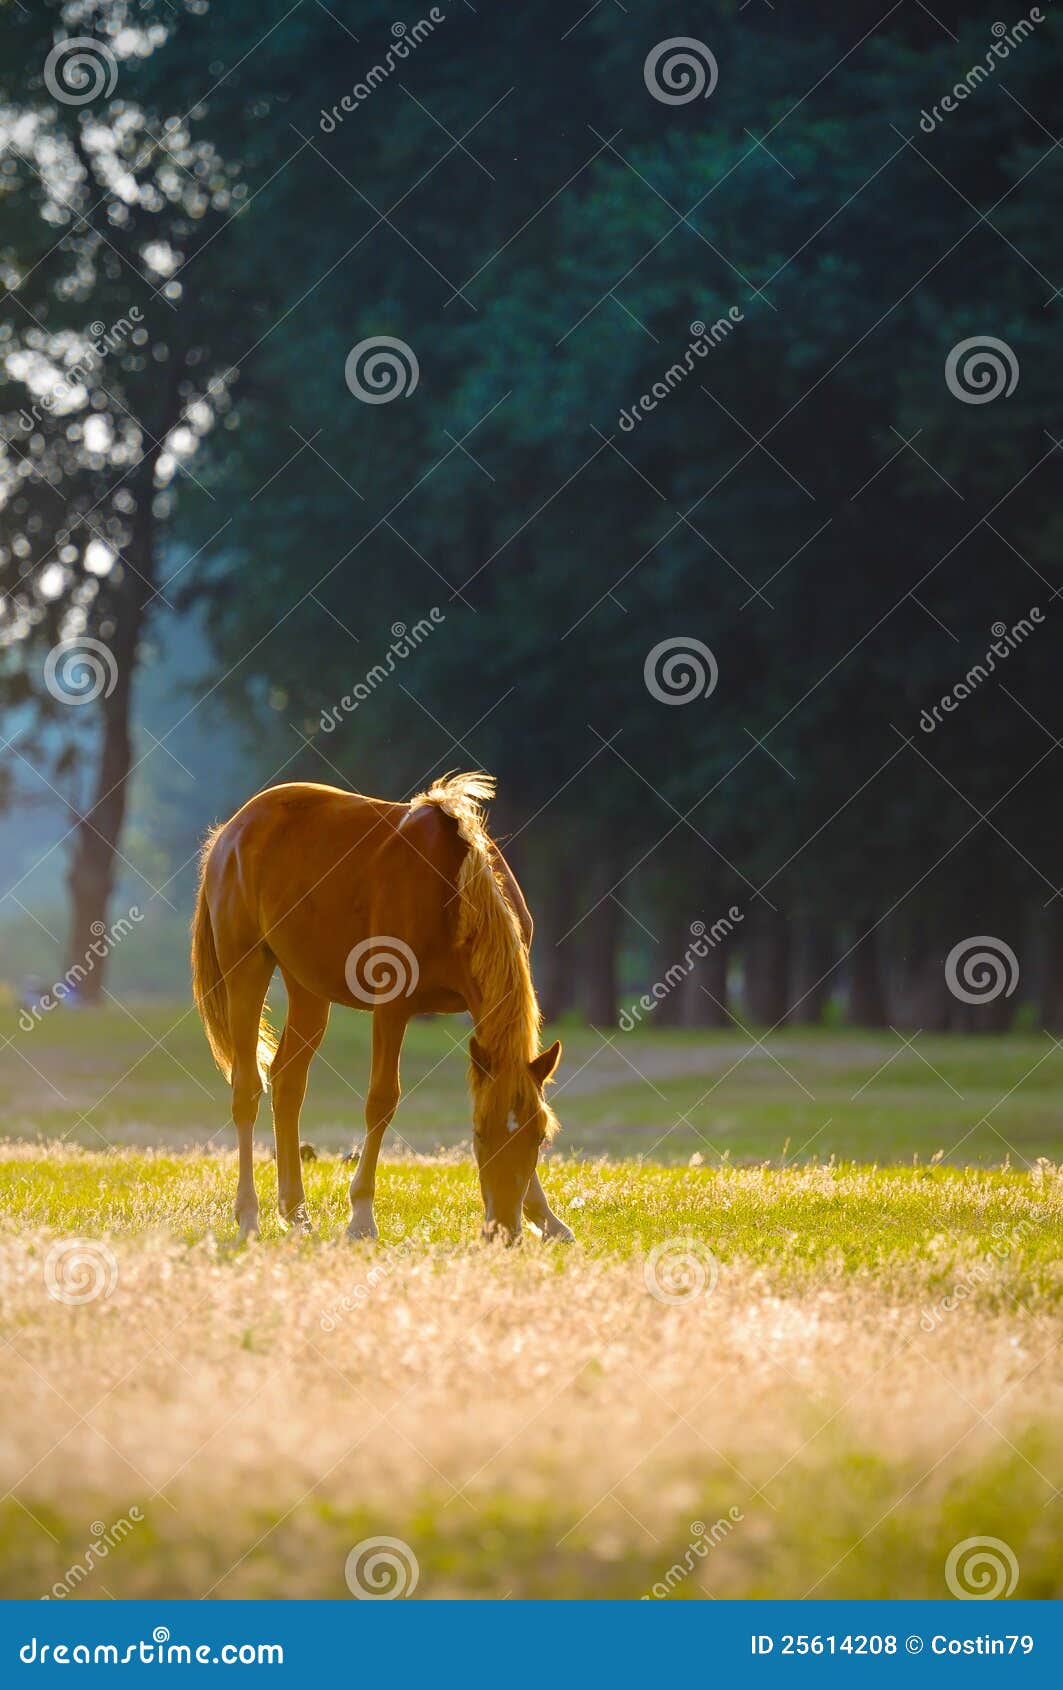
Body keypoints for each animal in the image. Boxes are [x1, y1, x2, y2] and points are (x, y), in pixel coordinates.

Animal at [190, 770, 573, 1245]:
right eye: (478, 1134)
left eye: (540, 1137)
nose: (502, 1231)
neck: (453, 890)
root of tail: (228, 833)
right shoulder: (393, 1008)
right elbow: (381, 1101)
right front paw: (361, 1217)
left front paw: (549, 1219)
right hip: (246, 967)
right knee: (247, 1089)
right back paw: (248, 1215)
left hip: (307, 987)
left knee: (287, 1085)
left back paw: (297, 1215)